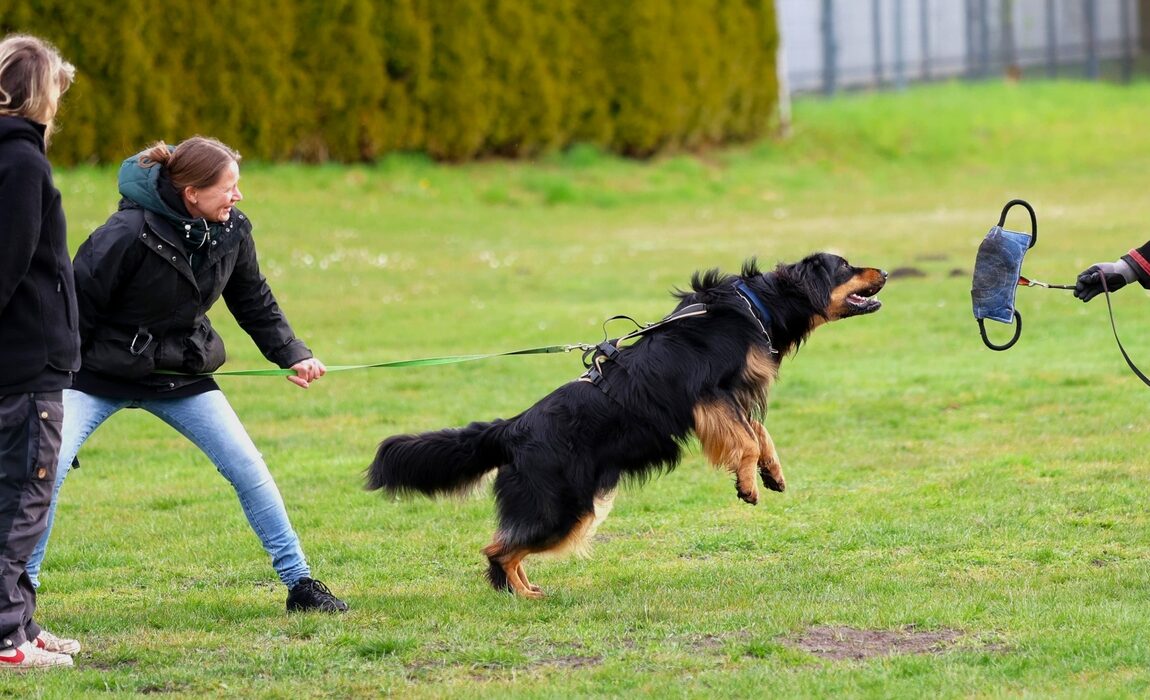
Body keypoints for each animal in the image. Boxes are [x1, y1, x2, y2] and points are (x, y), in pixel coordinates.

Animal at [366, 253, 886, 598]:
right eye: (844, 266)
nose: (884, 270)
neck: (755, 304)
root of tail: (512, 430)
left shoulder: (731, 396)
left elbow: (759, 433)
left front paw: (772, 472)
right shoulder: (708, 396)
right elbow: (745, 438)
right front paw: (747, 482)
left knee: (505, 547)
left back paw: (525, 589)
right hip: (563, 507)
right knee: (497, 549)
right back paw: (520, 594)